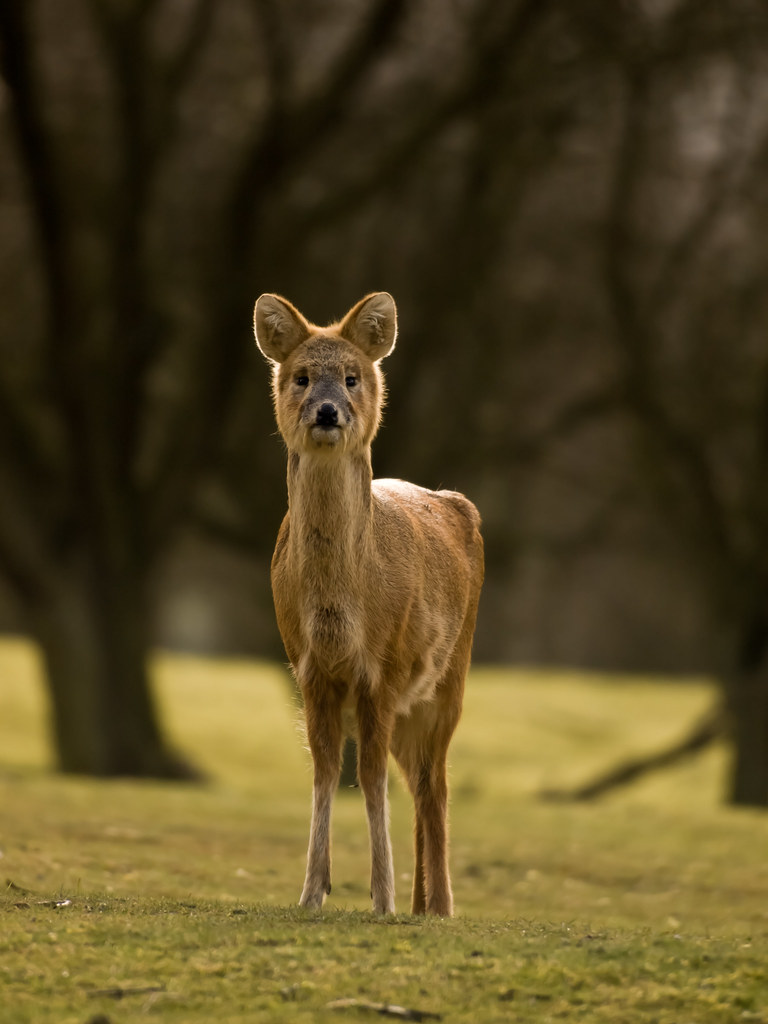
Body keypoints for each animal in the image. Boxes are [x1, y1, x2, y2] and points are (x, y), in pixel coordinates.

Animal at [256, 292, 483, 917]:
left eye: (353, 377)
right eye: (302, 376)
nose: (327, 411)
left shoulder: (382, 665)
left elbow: (371, 776)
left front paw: (380, 898)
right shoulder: (307, 666)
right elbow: (326, 770)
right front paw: (313, 892)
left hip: (449, 677)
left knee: (435, 783)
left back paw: (440, 906)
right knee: (419, 780)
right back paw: (422, 904)